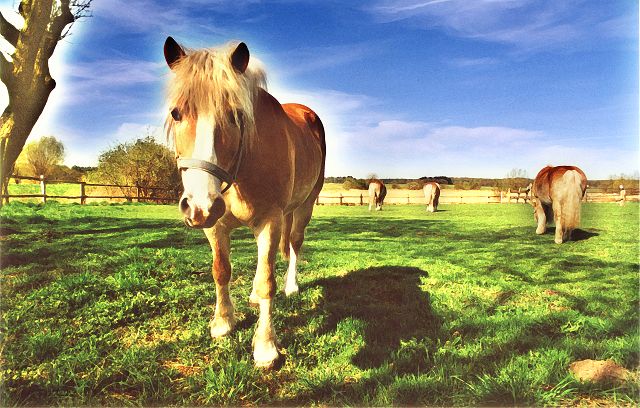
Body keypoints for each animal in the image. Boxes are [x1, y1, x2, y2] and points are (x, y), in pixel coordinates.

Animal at [162, 38, 328, 368]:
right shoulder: (215, 226)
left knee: (294, 243)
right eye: (176, 113)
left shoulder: (270, 221)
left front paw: (265, 347)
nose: (199, 206)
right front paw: (223, 322)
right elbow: (221, 270)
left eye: (235, 115)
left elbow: (267, 282)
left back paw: (291, 286)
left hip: (304, 206)